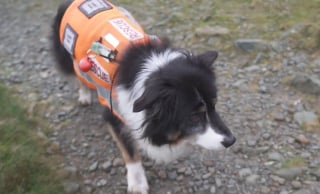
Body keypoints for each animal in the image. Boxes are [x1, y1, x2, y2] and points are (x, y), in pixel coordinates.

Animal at [50, 0, 235, 193]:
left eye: (214, 105)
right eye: (194, 116)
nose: (231, 141)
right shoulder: (115, 113)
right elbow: (129, 150)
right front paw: (137, 182)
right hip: (71, 56)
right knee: (77, 73)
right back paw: (85, 94)